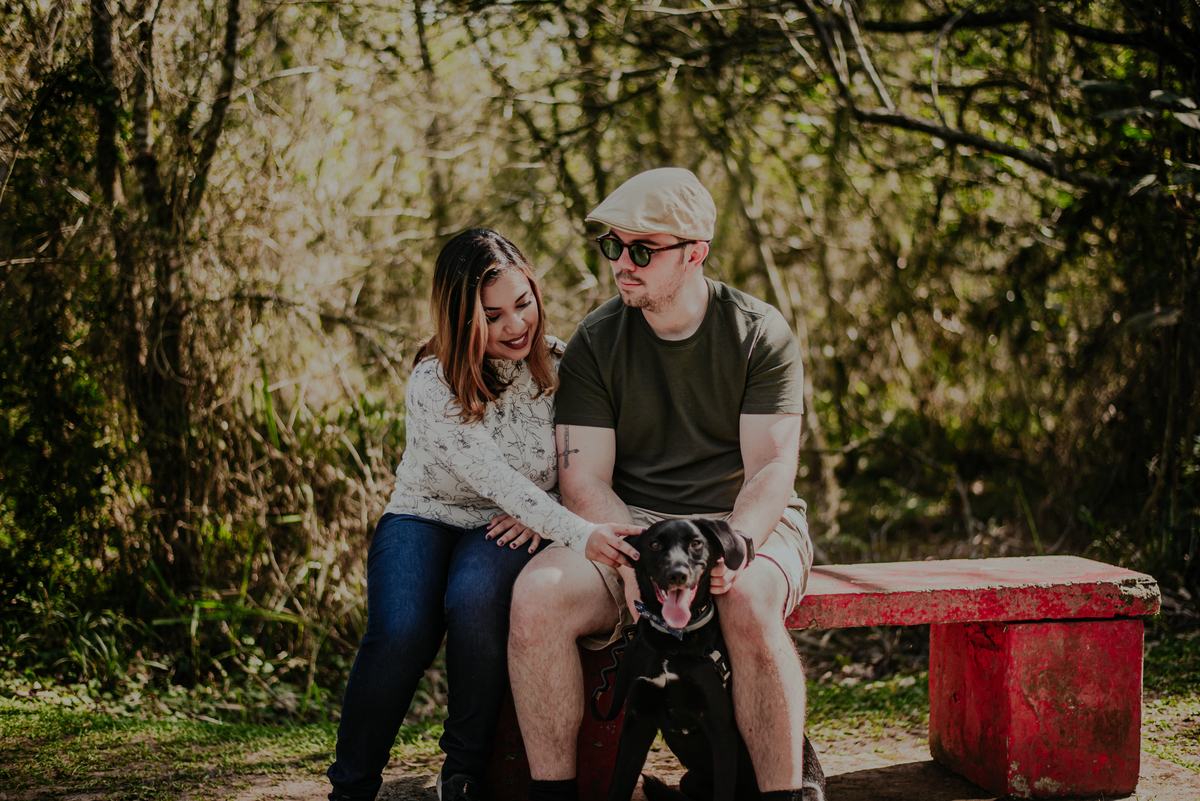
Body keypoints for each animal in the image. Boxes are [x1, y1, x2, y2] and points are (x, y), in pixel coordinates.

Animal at [600, 518, 826, 801]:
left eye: (696, 543)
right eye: (654, 544)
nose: (677, 574)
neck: (675, 642)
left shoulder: (720, 729)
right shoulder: (636, 722)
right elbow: (619, 785)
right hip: (689, 781)